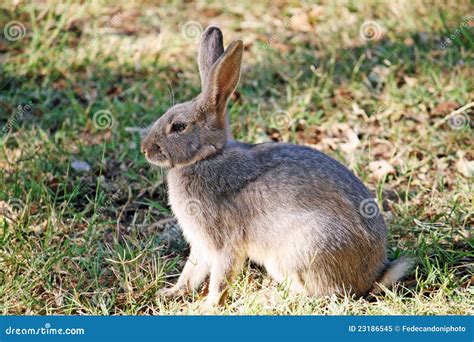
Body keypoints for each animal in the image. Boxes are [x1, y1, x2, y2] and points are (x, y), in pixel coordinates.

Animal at [141, 26, 412, 308]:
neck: (207, 157)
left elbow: (220, 277)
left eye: (179, 126)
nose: (145, 149)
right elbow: (191, 272)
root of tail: (371, 277)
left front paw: (209, 307)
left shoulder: (224, 242)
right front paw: (172, 293)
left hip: (300, 252)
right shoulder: (201, 246)